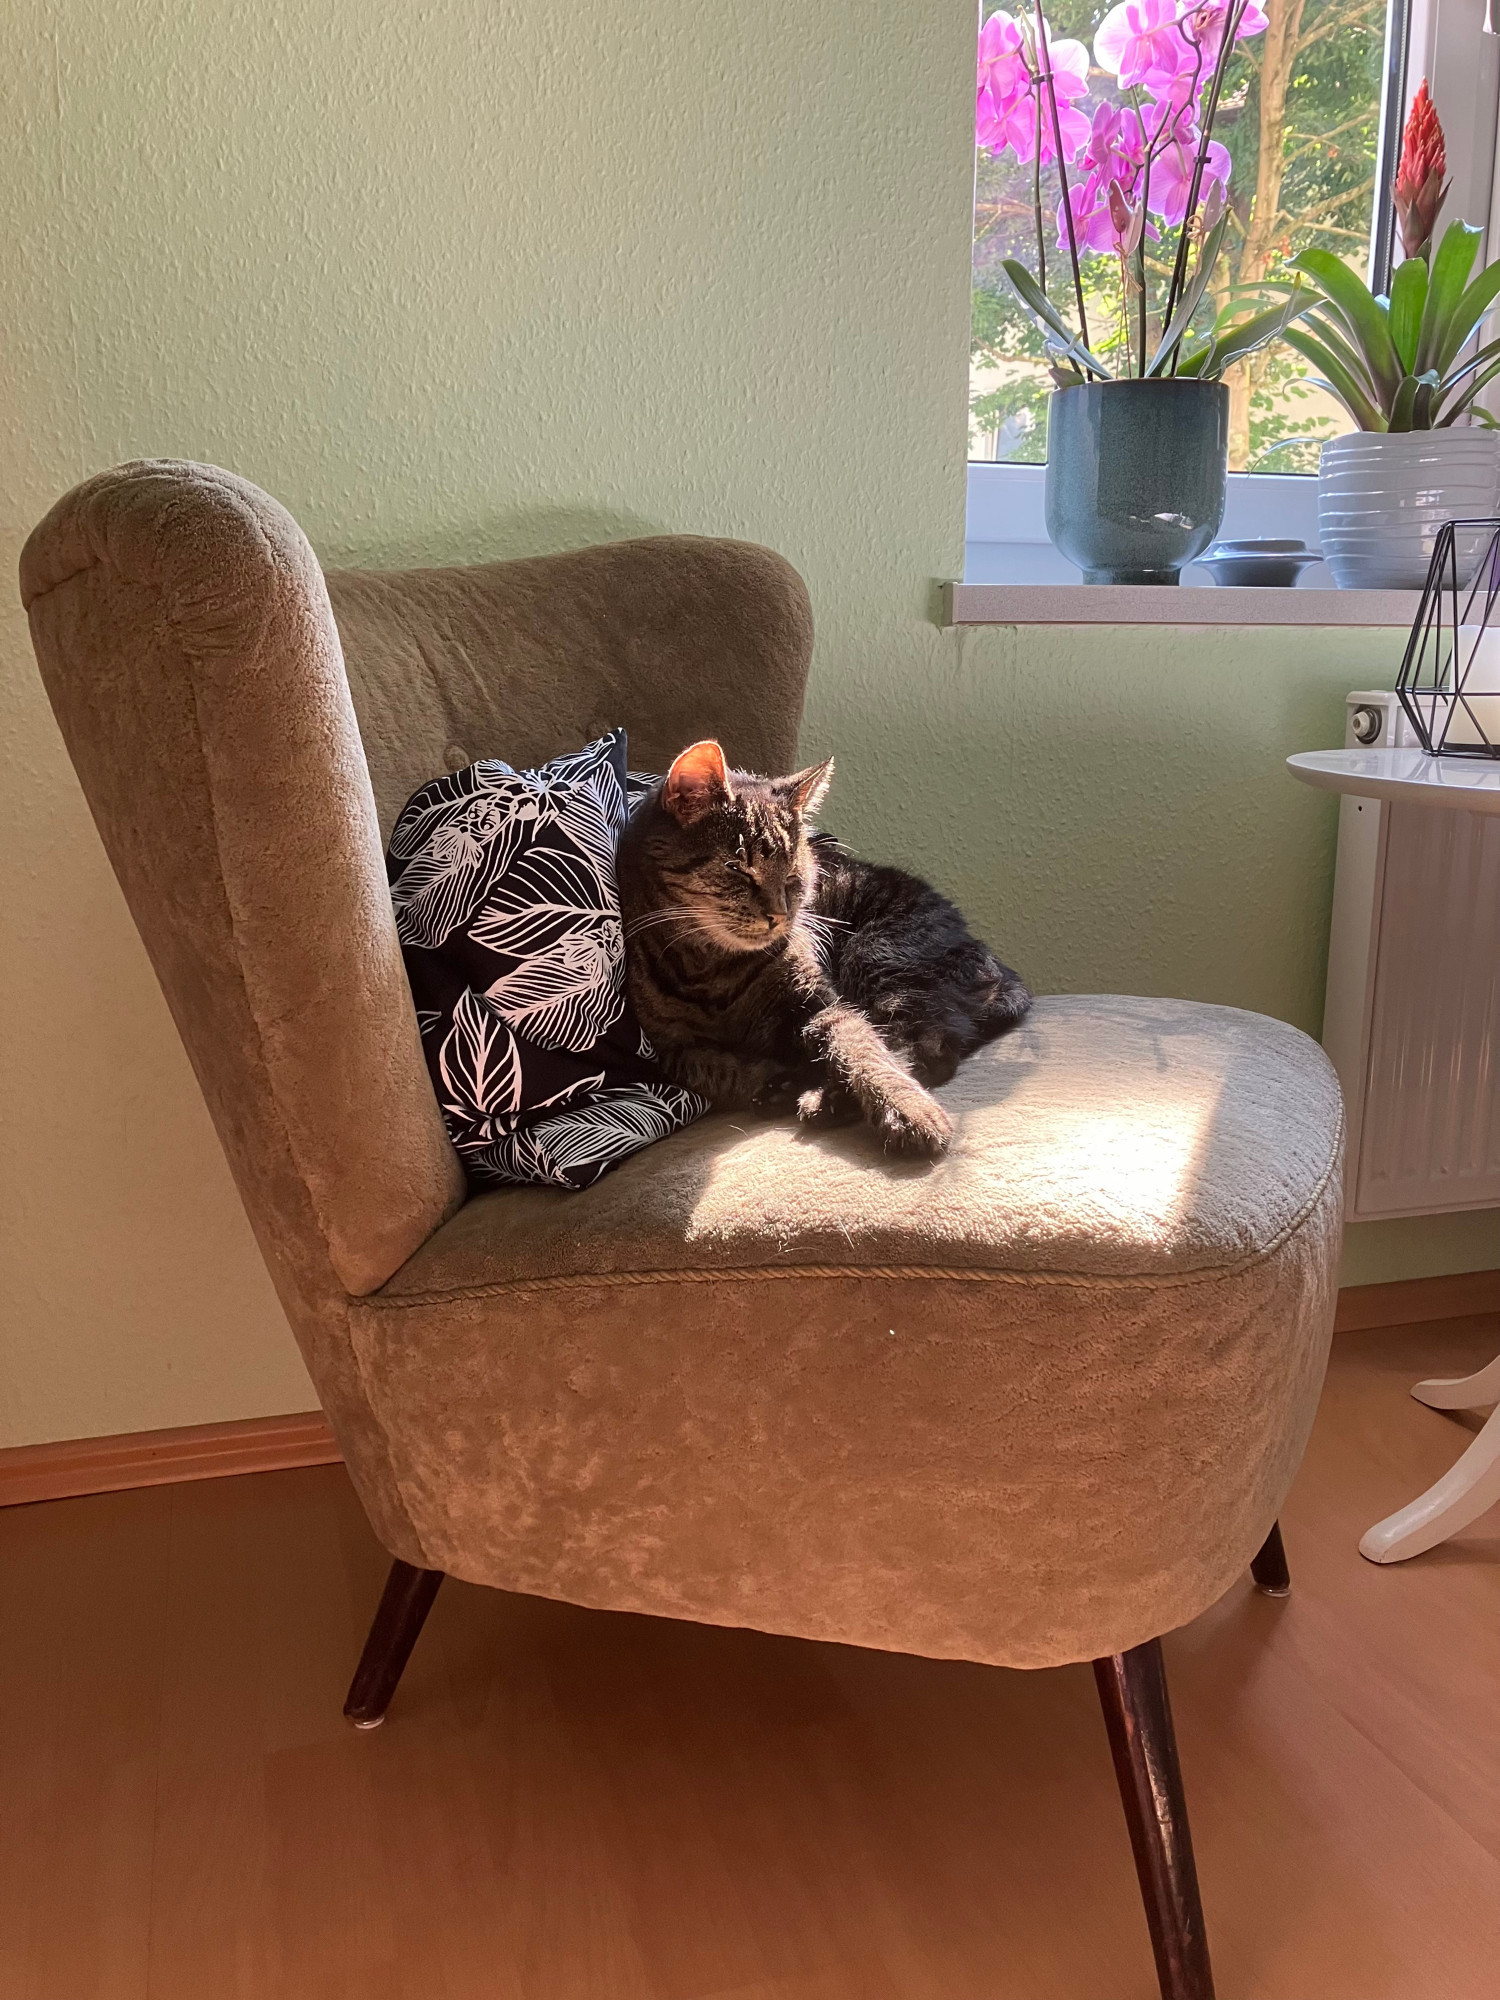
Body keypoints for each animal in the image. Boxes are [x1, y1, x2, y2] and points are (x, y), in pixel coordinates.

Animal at [620, 744, 1032, 1160]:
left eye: (792, 875)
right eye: (737, 867)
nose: (779, 915)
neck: (713, 969)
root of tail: (995, 964)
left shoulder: (822, 1004)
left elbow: (861, 1047)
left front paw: (908, 1110)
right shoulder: (673, 1050)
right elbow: (722, 1072)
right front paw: (775, 1081)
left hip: (875, 957)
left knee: (925, 1047)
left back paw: (832, 1100)